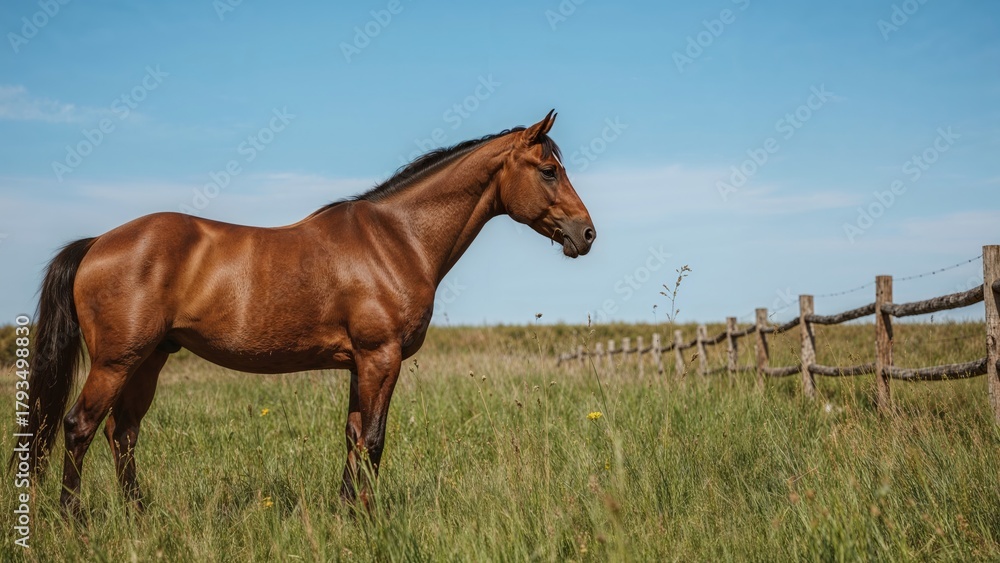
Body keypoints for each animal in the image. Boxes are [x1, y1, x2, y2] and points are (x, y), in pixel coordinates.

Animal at [19, 110, 596, 516]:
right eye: (549, 171)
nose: (586, 233)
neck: (396, 239)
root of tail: (97, 244)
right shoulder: (381, 357)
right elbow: (373, 441)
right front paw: (368, 518)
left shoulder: (361, 364)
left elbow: (353, 436)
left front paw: (345, 513)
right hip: (116, 362)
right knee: (80, 426)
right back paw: (73, 519)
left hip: (149, 360)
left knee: (122, 433)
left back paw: (139, 515)